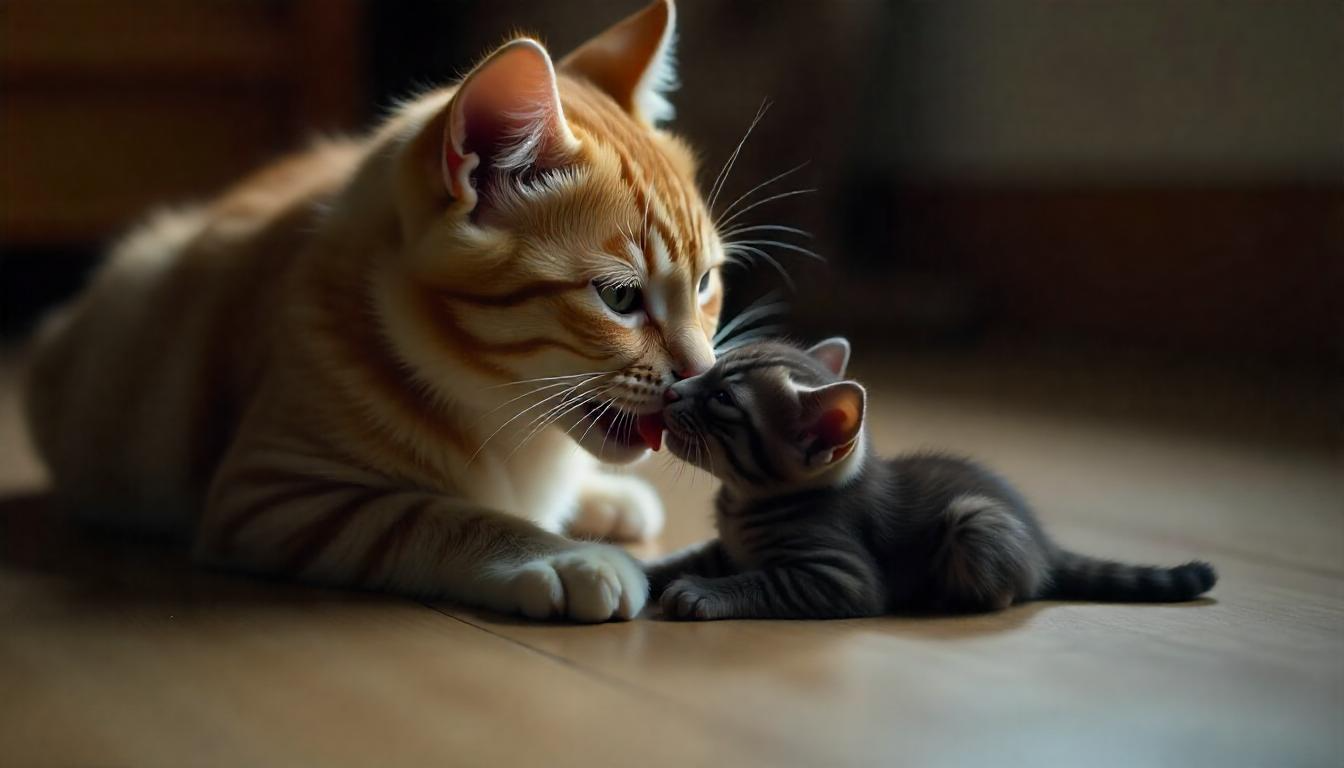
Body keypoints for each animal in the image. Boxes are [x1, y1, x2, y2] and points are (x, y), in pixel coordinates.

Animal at [21, 0, 720, 621]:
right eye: (620, 298)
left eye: (706, 283)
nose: (700, 371)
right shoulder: (273, 494)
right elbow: (435, 514)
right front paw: (564, 558)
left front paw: (590, 503)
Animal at [639, 338, 1220, 621]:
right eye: (711, 368)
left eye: (722, 398)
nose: (673, 391)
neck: (742, 505)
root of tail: (1044, 544)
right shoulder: (725, 547)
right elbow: (687, 558)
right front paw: (645, 572)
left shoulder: (838, 574)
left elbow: (763, 581)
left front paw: (702, 594)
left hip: (973, 520)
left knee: (1006, 594)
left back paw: (947, 598)